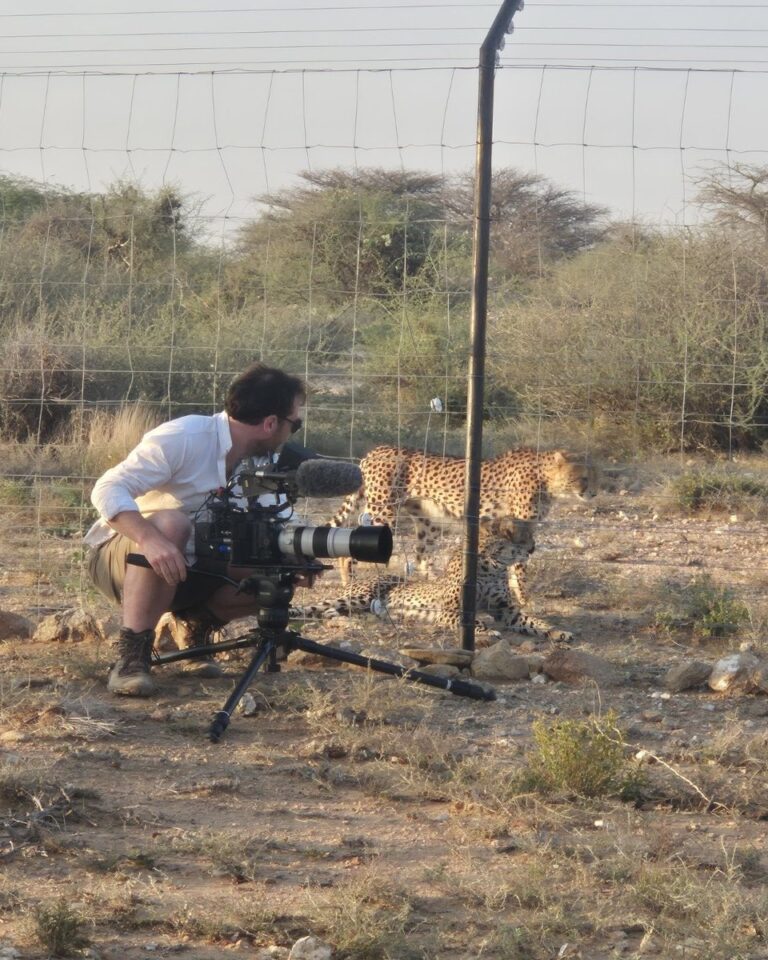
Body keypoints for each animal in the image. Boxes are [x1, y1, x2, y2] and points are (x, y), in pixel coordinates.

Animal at [291, 517, 573, 644]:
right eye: (521, 536)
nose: (533, 548)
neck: (493, 563)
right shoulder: (449, 610)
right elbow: (473, 620)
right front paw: (486, 632)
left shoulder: (505, 609)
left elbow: (531, 620)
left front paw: (557, 631)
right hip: (358, 597)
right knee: (314, 608)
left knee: (329, 611)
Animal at [328, 444, 599, 604]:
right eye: (583, 477)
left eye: (595, 476)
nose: (594, 493)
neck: (546, 477)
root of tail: (375, 451)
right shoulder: (520, 530)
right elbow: (519, 567)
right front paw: (524, 598)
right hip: (383, 512)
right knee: (351, 549)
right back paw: (351, 583)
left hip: (429, 521)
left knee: (421, 555)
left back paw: (434, 584)